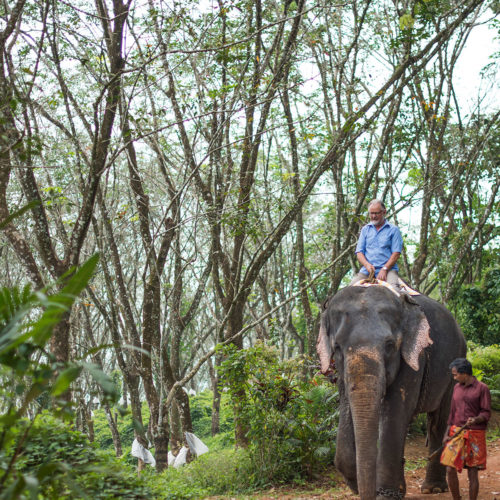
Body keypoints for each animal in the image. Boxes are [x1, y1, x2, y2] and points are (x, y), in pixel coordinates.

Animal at [318, 284, 466, 498]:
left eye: (389, 345)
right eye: (337, 347)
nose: (365, 492)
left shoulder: (414, 357)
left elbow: (396, 410)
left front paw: (385, 494)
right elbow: (347, 407)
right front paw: (357, 486)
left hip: (456, 362)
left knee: (438, 420)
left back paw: (433, 488)